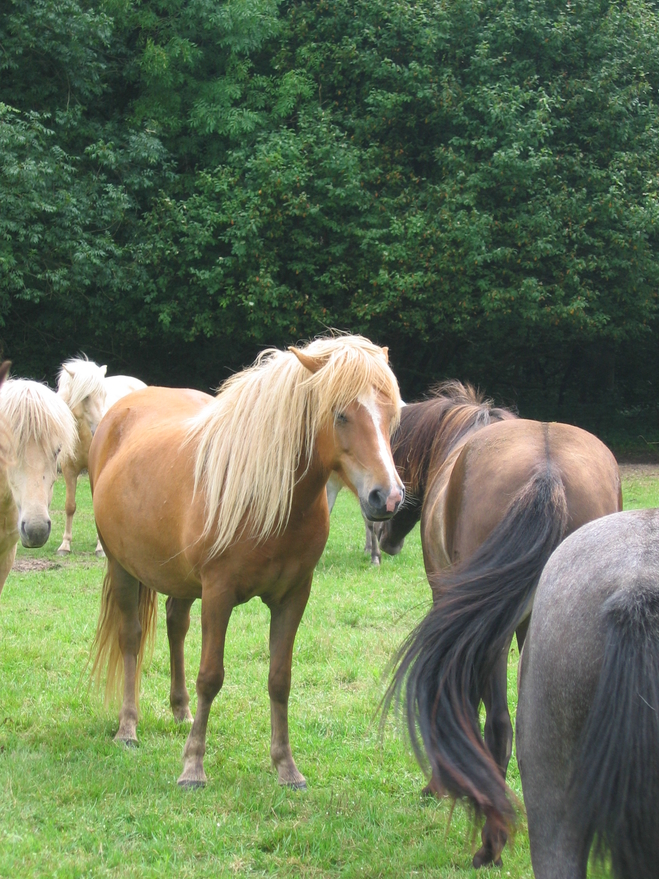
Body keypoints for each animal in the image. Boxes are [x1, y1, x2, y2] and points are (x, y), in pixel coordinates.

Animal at [56, 360, 147, 556]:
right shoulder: (68, 469)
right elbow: (69, 506)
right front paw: (65, 544)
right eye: (86, 397)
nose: (100, 426)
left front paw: (100, 548)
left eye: (103, 394)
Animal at [89, 336, 404, 792]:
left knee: (175, 624)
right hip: (122, 567)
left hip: (181, 581)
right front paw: (193, 768)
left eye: (392, 415)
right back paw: (128, 728)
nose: (388, 497)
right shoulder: (218, 595)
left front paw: (286, 767)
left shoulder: (294, 596)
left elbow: (279, 679)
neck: (267, 499)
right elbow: (211, 676)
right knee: (131, 637)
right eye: (340, 413)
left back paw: (181, 712)